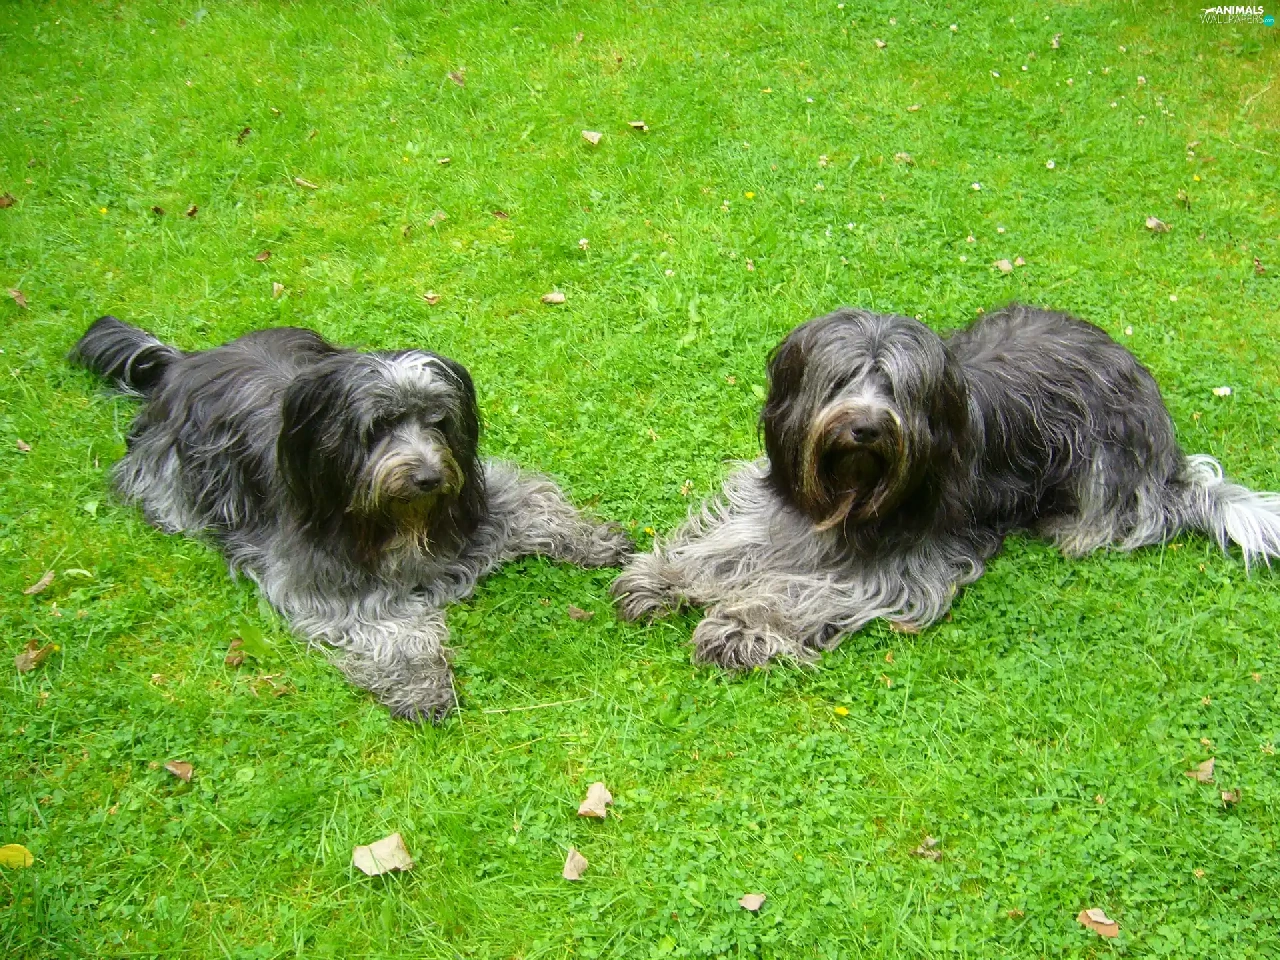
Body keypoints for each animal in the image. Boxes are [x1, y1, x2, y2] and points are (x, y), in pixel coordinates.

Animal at [72, 317, 631, 720]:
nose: (430, 477)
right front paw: (421, 687)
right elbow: (394, 634)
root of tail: (180, 363)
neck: (397, 520)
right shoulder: (329, 587)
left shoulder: (478, 500)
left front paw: (597, 541)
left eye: (438, 420)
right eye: (378, 427)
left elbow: (536, 505)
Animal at [612, 304, 1280, 668]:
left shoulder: (899, 566)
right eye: (841, 380)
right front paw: (667, 576)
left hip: (1105, 471)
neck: (853, 491)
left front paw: (745, 625)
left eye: (897, 389)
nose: (865, 427)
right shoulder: (781, 505)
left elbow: (806, 590)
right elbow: (732, 542)